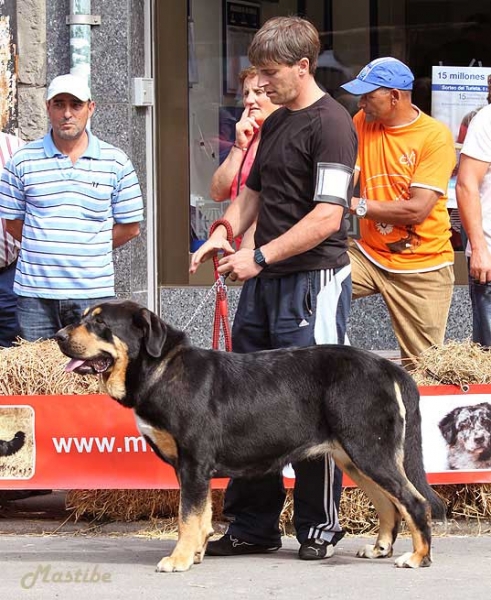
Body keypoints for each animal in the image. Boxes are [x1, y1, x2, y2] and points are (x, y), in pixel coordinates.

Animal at [55, 300, 448, 572]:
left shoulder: (194, 463)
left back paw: (418, 557)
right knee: (389, 503)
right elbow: (200, 517)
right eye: (86, 317)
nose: (58, 336)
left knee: (414, 502)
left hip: (369, 450)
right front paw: (196, 553)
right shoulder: (190, 469)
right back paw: (380, 548)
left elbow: (187, 517)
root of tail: (388, 366)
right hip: (354, 456)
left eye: (100, 322)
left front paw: (179, 559)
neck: (161, 370)